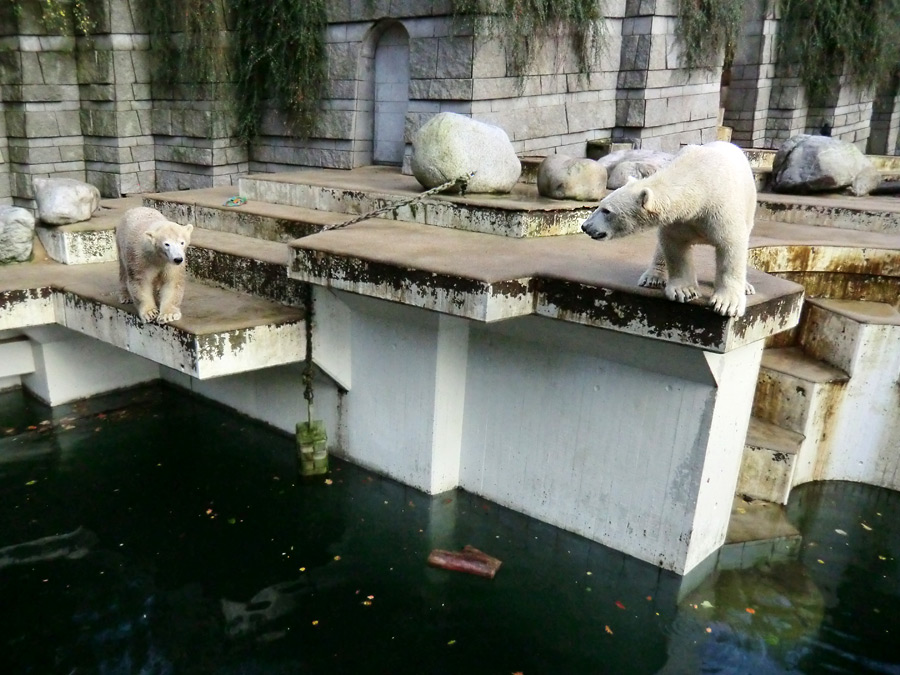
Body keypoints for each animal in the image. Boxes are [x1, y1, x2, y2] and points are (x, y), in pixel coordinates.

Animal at [580, 141, 756, 320]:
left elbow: (730, 246)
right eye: (600, 205)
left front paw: (727, 304)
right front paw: (684, 291)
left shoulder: (720, 209)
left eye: (606, 210)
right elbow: (674, 245)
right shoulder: (678, 219)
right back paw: (653, 277)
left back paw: (747, 286)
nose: (586, 226)